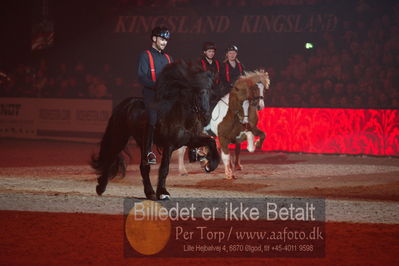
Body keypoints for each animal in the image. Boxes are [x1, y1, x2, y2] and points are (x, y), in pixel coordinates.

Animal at [91, 60, 220, 200]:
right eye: (197, 91)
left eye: (210, 91)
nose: (206, 115)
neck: (180, 115)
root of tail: (127, 103)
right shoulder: (169, 145)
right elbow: (164, 169)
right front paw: (163, 192)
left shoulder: (190, 140)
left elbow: (211, 142)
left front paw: (210, 165)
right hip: (121, 137)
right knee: (110, 158)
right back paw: (101, 187)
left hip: (142, 142)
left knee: (143, 167)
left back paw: (149, 193)